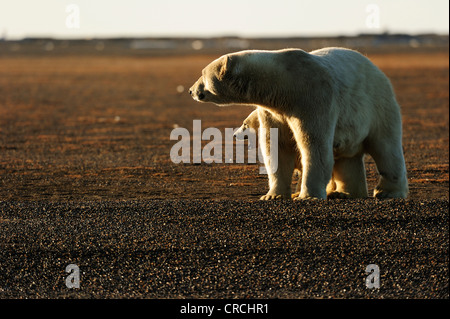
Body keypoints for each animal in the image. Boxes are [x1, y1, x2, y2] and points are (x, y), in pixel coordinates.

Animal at [189, 47, 408, 200]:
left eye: (202, 73)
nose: (191, 90)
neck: (284, 85)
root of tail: (377, 69)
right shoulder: (274, 112)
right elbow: (276, 147)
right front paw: (273, 195)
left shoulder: (312, 98)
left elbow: (314, 145)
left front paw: (307, 196)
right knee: (347, 159)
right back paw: (343, 193)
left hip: (377, 104)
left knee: (386, 147)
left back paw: (388, 192)